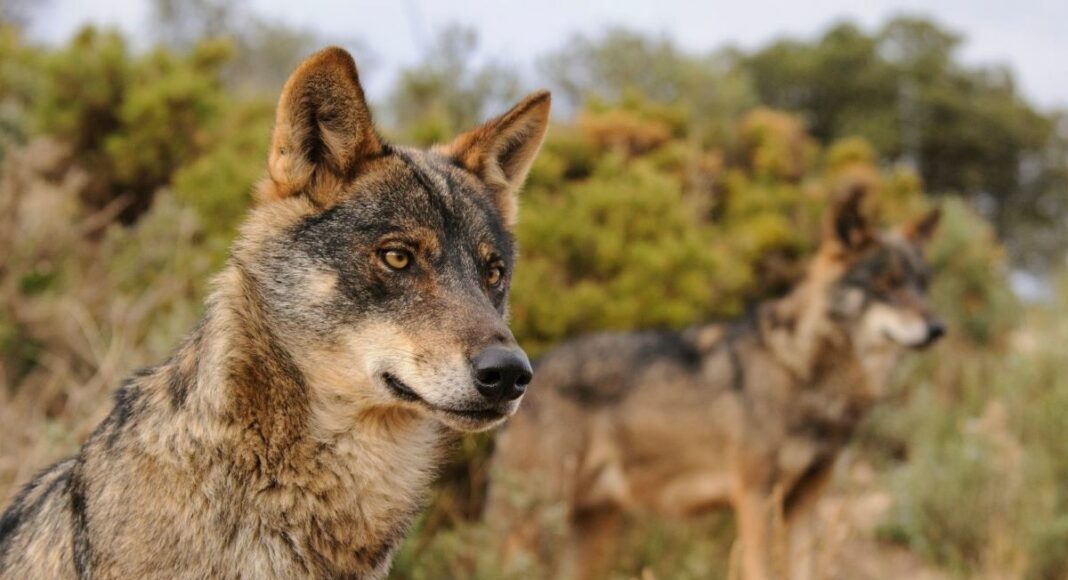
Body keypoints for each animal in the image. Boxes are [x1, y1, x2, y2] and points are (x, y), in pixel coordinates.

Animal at [487, 189, 944, 580]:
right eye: (887, 283)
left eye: (922, 284)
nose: (939, 328)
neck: (803, 369)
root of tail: (533, 369)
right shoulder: (755, 497)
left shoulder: (805, 504)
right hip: (534, 521)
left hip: (591, 529)